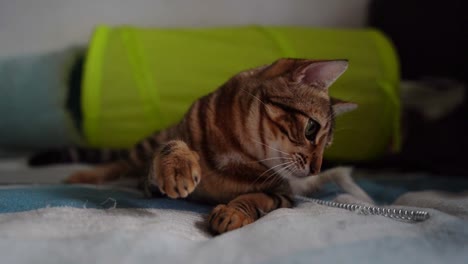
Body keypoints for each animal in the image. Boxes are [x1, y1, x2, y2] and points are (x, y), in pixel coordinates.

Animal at [30, 57, 366, 233]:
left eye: (327, 144)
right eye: (311, 129)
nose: (317, 169)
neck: (238, 153)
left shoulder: (284, 195)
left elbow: (257, 198)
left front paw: (234, 212)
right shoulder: (152, 176)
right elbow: (173, 146)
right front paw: (179, 167)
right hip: (144, 146)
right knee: (121, 162)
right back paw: (83, 175)